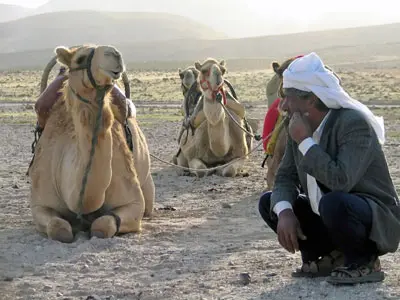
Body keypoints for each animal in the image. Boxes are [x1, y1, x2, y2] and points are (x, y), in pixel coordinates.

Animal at [27, 44, 155, 244]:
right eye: (80, 58)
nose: (115, 54)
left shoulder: (134, 202)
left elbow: (103, 225)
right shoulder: (40, 203)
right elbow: (57, 227)